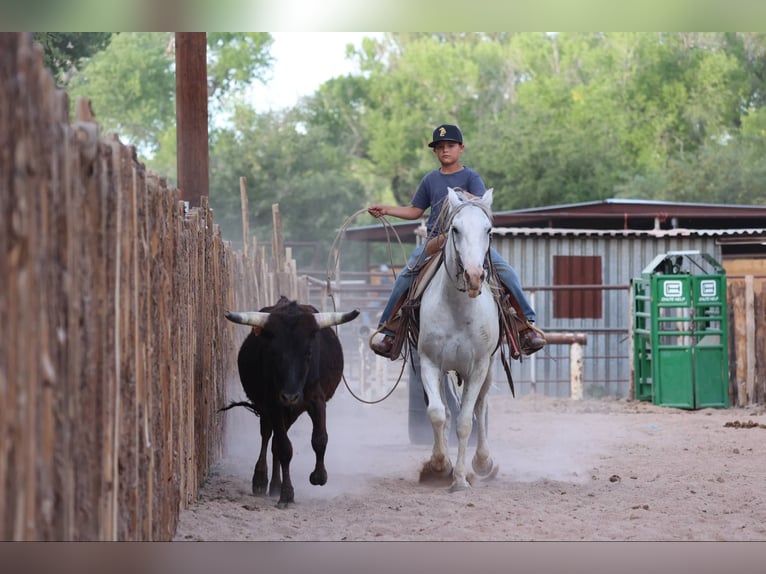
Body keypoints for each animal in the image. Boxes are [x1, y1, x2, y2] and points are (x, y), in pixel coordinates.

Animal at [417, 186, 500, 491]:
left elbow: (465, 421)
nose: (474, 276)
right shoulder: (429, 362)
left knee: (480, 407)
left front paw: (461, 479)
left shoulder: (478, 367)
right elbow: (438, 413)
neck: (458, 308)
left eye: (488, 230)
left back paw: (483, 462)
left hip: (488, 369)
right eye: (455, 229)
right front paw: (439, 465)